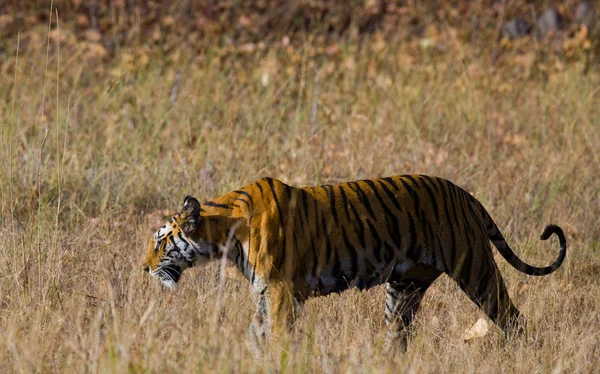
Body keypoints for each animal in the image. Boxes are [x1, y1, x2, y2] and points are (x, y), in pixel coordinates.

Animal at [143, 175, 564, 348]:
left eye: (161, 242)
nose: (145, 268)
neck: (225, 232)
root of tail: (464, 193)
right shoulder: (265, 290)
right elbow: (255, 330)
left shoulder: (280, 289)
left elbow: (277, 332)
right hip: (405, 287)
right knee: (398, 334)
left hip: (474, 268)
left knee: (512, 318)